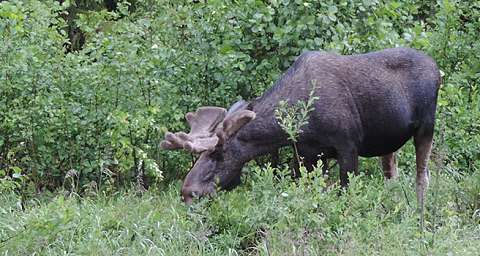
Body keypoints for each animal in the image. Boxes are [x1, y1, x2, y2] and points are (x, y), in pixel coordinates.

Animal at [163, 48, 440, 210]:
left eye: (219, 154)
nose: (188, 192)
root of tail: (438, 69)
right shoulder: (309, 155)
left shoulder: (348, 145)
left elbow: (346, 194)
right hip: (389, 144)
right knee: (392, 176)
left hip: (426, 127)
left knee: (422, 177)